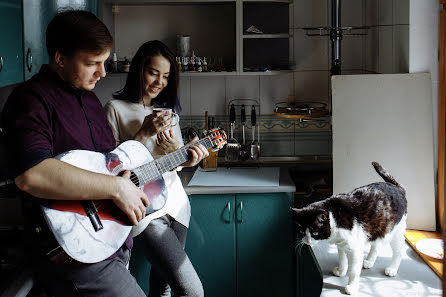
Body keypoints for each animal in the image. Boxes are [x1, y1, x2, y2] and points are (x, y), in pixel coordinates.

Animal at [290, 162, 410, 294]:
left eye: (315, 233)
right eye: (301, 231)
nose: (307, 241)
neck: (334, 217)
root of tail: (397, 187)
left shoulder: (355, 249)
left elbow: (353, 271)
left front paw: (352, 287)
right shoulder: (341, 245)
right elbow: (342, 260)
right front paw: (341, 271)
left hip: (395, 231)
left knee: (399, 251)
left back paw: (392, 269)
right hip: (378, 228)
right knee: (376, 245)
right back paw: (369, 261)